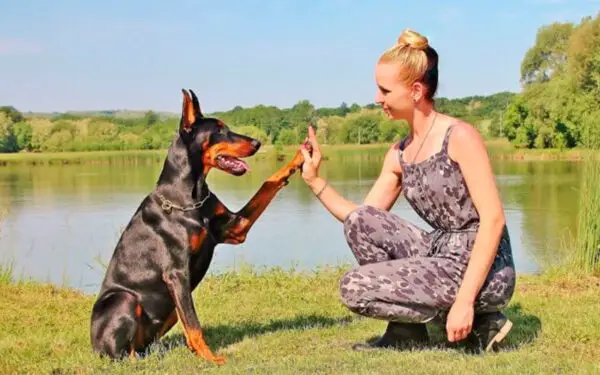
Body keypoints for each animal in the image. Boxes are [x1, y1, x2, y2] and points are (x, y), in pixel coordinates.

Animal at [91, 89, 312, 366]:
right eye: (219, 130)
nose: (257, 143)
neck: (190, 197)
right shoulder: (176, 273)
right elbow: (194, 324)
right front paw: (212, 358)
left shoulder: (236, 228)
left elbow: (267, 183)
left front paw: (299, 156)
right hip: (124, 300)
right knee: (122, 354)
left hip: (168, 310)